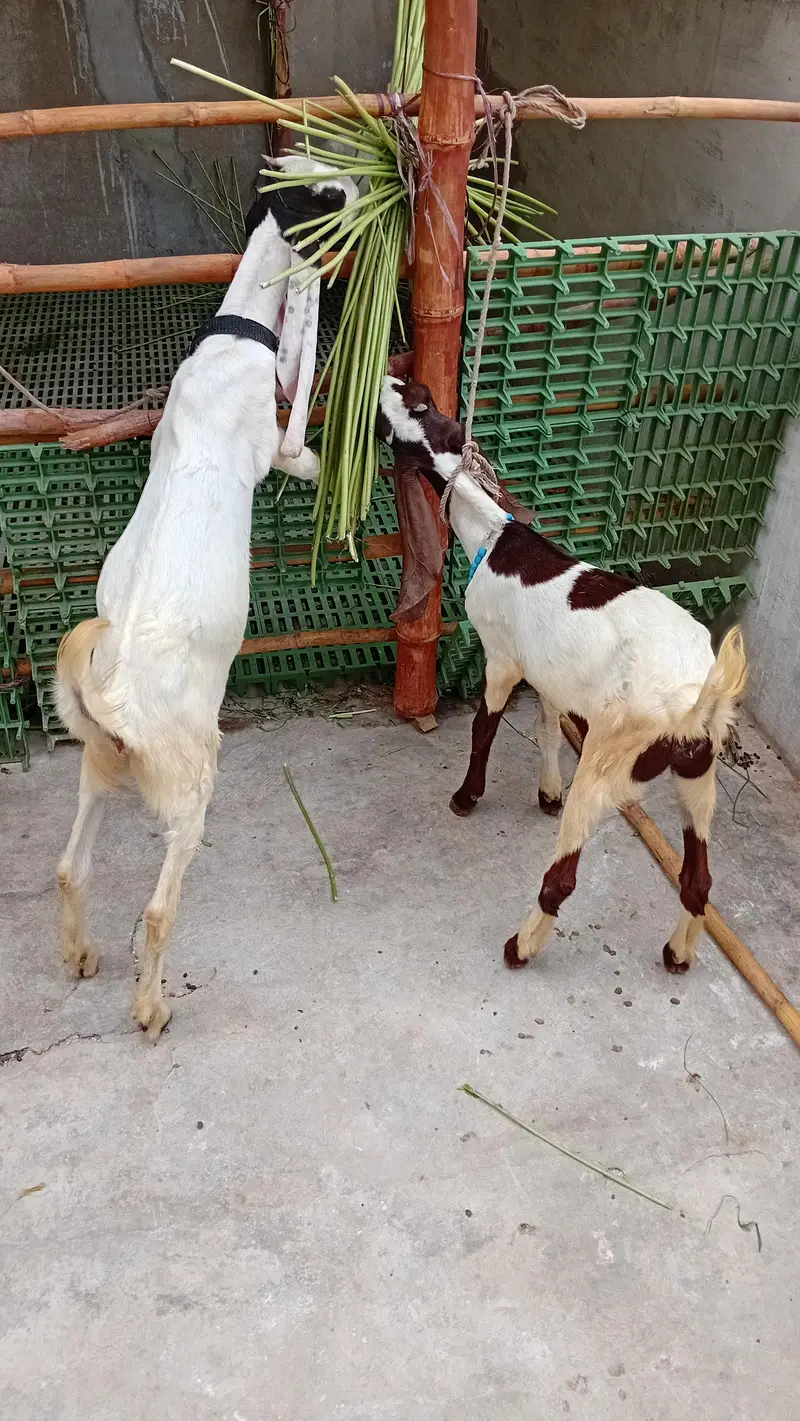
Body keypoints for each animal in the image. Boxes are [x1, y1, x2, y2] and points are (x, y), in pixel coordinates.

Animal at [54, 157, 357, 1039]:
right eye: (327, 192)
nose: (368, 186)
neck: (236, 333)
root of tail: (112, 702)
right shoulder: (276, 447)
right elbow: (304, 440)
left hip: (96, 768)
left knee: (70, 865)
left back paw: (81, 955)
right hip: (191, 779)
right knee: (158, 910)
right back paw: (151, 1006)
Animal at [377, 373, 747, 976]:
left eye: (404, 416)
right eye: (422, 399)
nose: (386, 379)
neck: (494, 538)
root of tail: (695, 703)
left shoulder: (503, 656)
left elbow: (484, 728)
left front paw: (466, 797)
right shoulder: (549, 669)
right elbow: (549, 722)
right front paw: (547, 790)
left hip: (607, 764)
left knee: (563, 878)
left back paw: (521, 946)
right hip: (700, 774)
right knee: (699, 880)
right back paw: (678, 952)